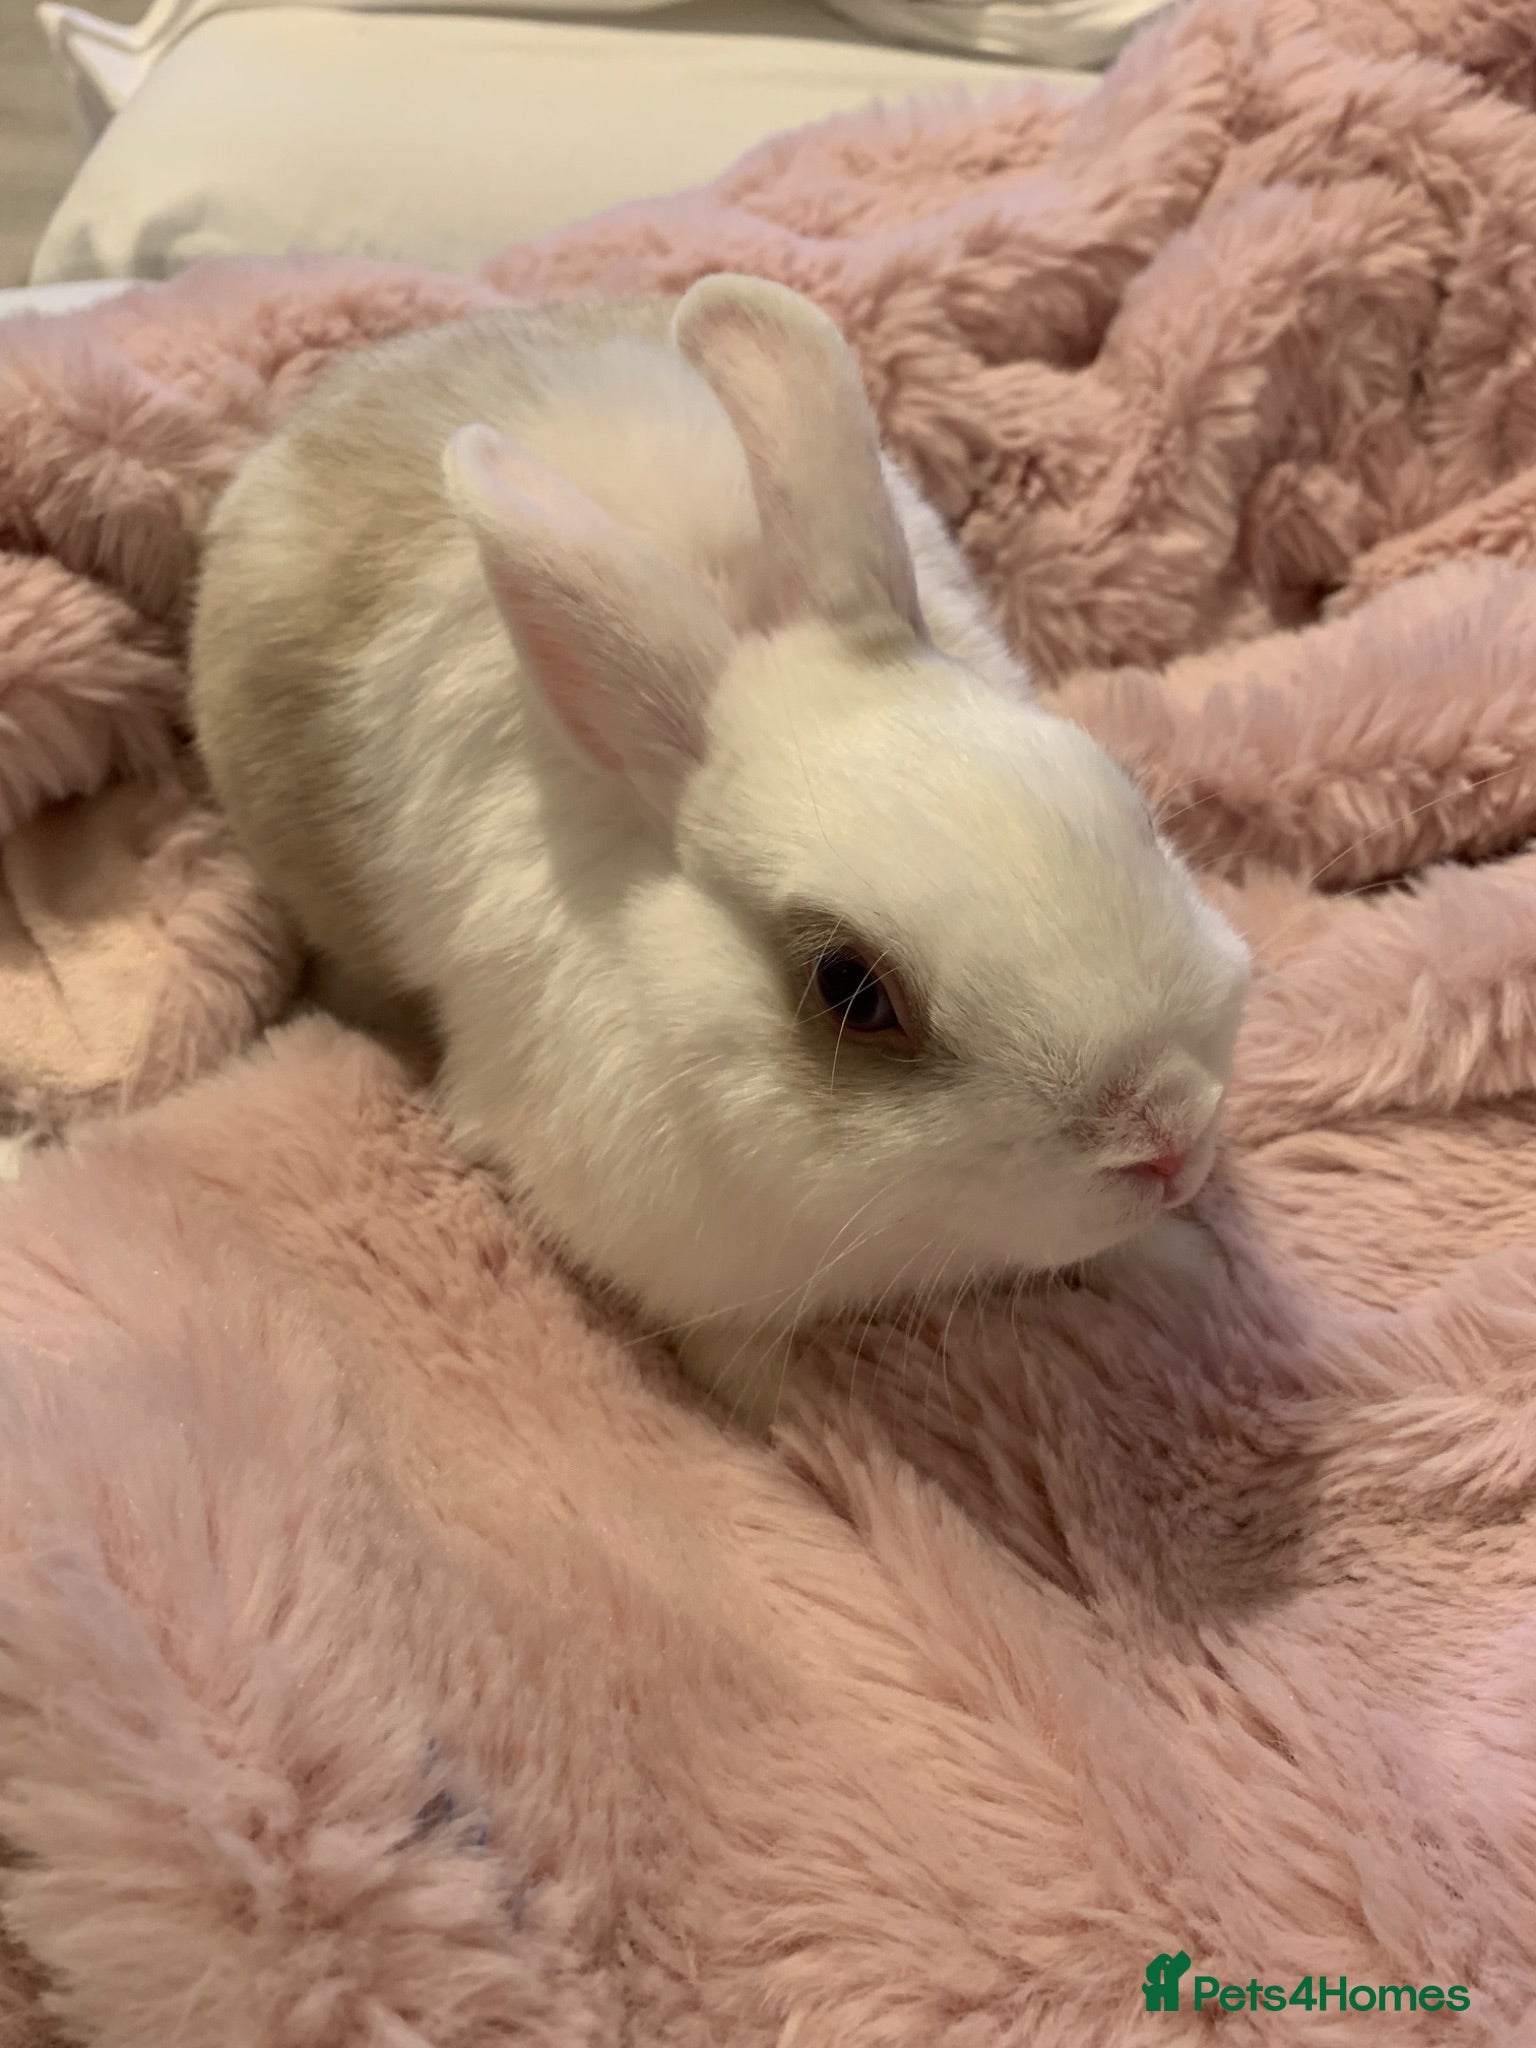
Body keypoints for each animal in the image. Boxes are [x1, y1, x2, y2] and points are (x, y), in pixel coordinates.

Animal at [191, 275, 1250, 1427]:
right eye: (851, 989)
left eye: (1128, 804)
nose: (1170, 1131)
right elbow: (731, 1349)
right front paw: (780, 1417)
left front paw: (1186, 1267)